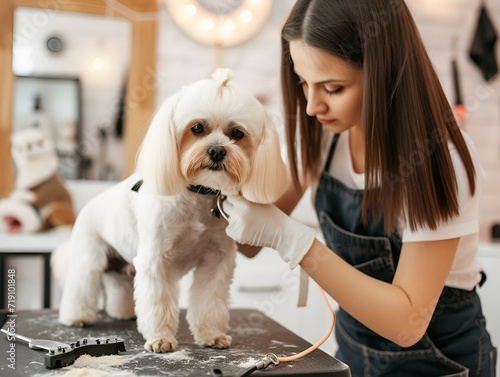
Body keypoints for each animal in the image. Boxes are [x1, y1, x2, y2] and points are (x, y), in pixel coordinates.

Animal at [52, 68, 288, 352]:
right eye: (197, 128)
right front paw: (160, 338)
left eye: (237, 133)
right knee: (81, 286)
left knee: (120, 287)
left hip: (123, 267)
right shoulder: (156, 260)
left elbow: (209, 301)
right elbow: (158, 303)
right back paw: (76, 317)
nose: (217, 150)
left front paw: (211, 335)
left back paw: (123, 312)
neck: (197, 196)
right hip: (89, 258)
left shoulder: (217, 260)